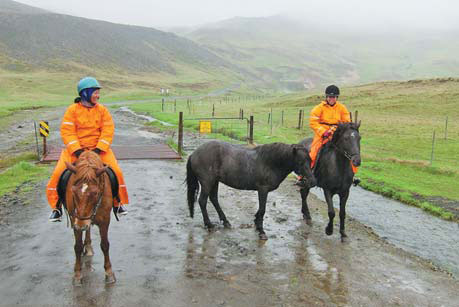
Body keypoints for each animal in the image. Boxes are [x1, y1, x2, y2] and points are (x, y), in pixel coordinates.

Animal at [64, 152, 117, 286]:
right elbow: (77, 246)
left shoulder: (105, 220)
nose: (81, 225)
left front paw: (109, 273)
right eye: (73, 191)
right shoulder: (74, 219)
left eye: (96, 193)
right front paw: (77, 274)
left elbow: (105, 245)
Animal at [186, 141, 316, 241]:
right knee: (202, 201)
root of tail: (194, 153)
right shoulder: (263, 189)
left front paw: (257, 224)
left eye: (310, 161)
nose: (312, 182)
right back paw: (209, 225)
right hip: (207, 182)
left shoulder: (262, 191)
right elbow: (262, 209)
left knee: (214, 199)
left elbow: (260, 210)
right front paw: (261, 231)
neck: (270, 163)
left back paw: (226, 221)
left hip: (214, 182)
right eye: (300, 162)